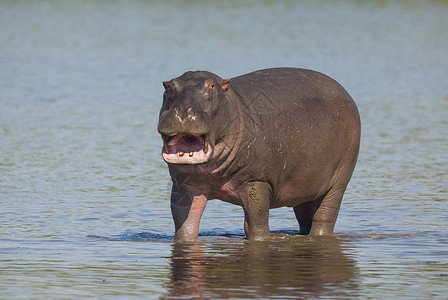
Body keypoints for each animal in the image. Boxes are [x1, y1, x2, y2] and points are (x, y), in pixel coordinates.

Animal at [158, 67, 360, 241]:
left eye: (212, 86)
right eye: (168, 87)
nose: (182, 111)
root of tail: (346, 93)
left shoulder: (257, 182)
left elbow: (256, 227)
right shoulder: (183, 187)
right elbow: (186, 226)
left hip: (339, 182)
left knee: (325, 216)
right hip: (305, 185)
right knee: (305, 217)